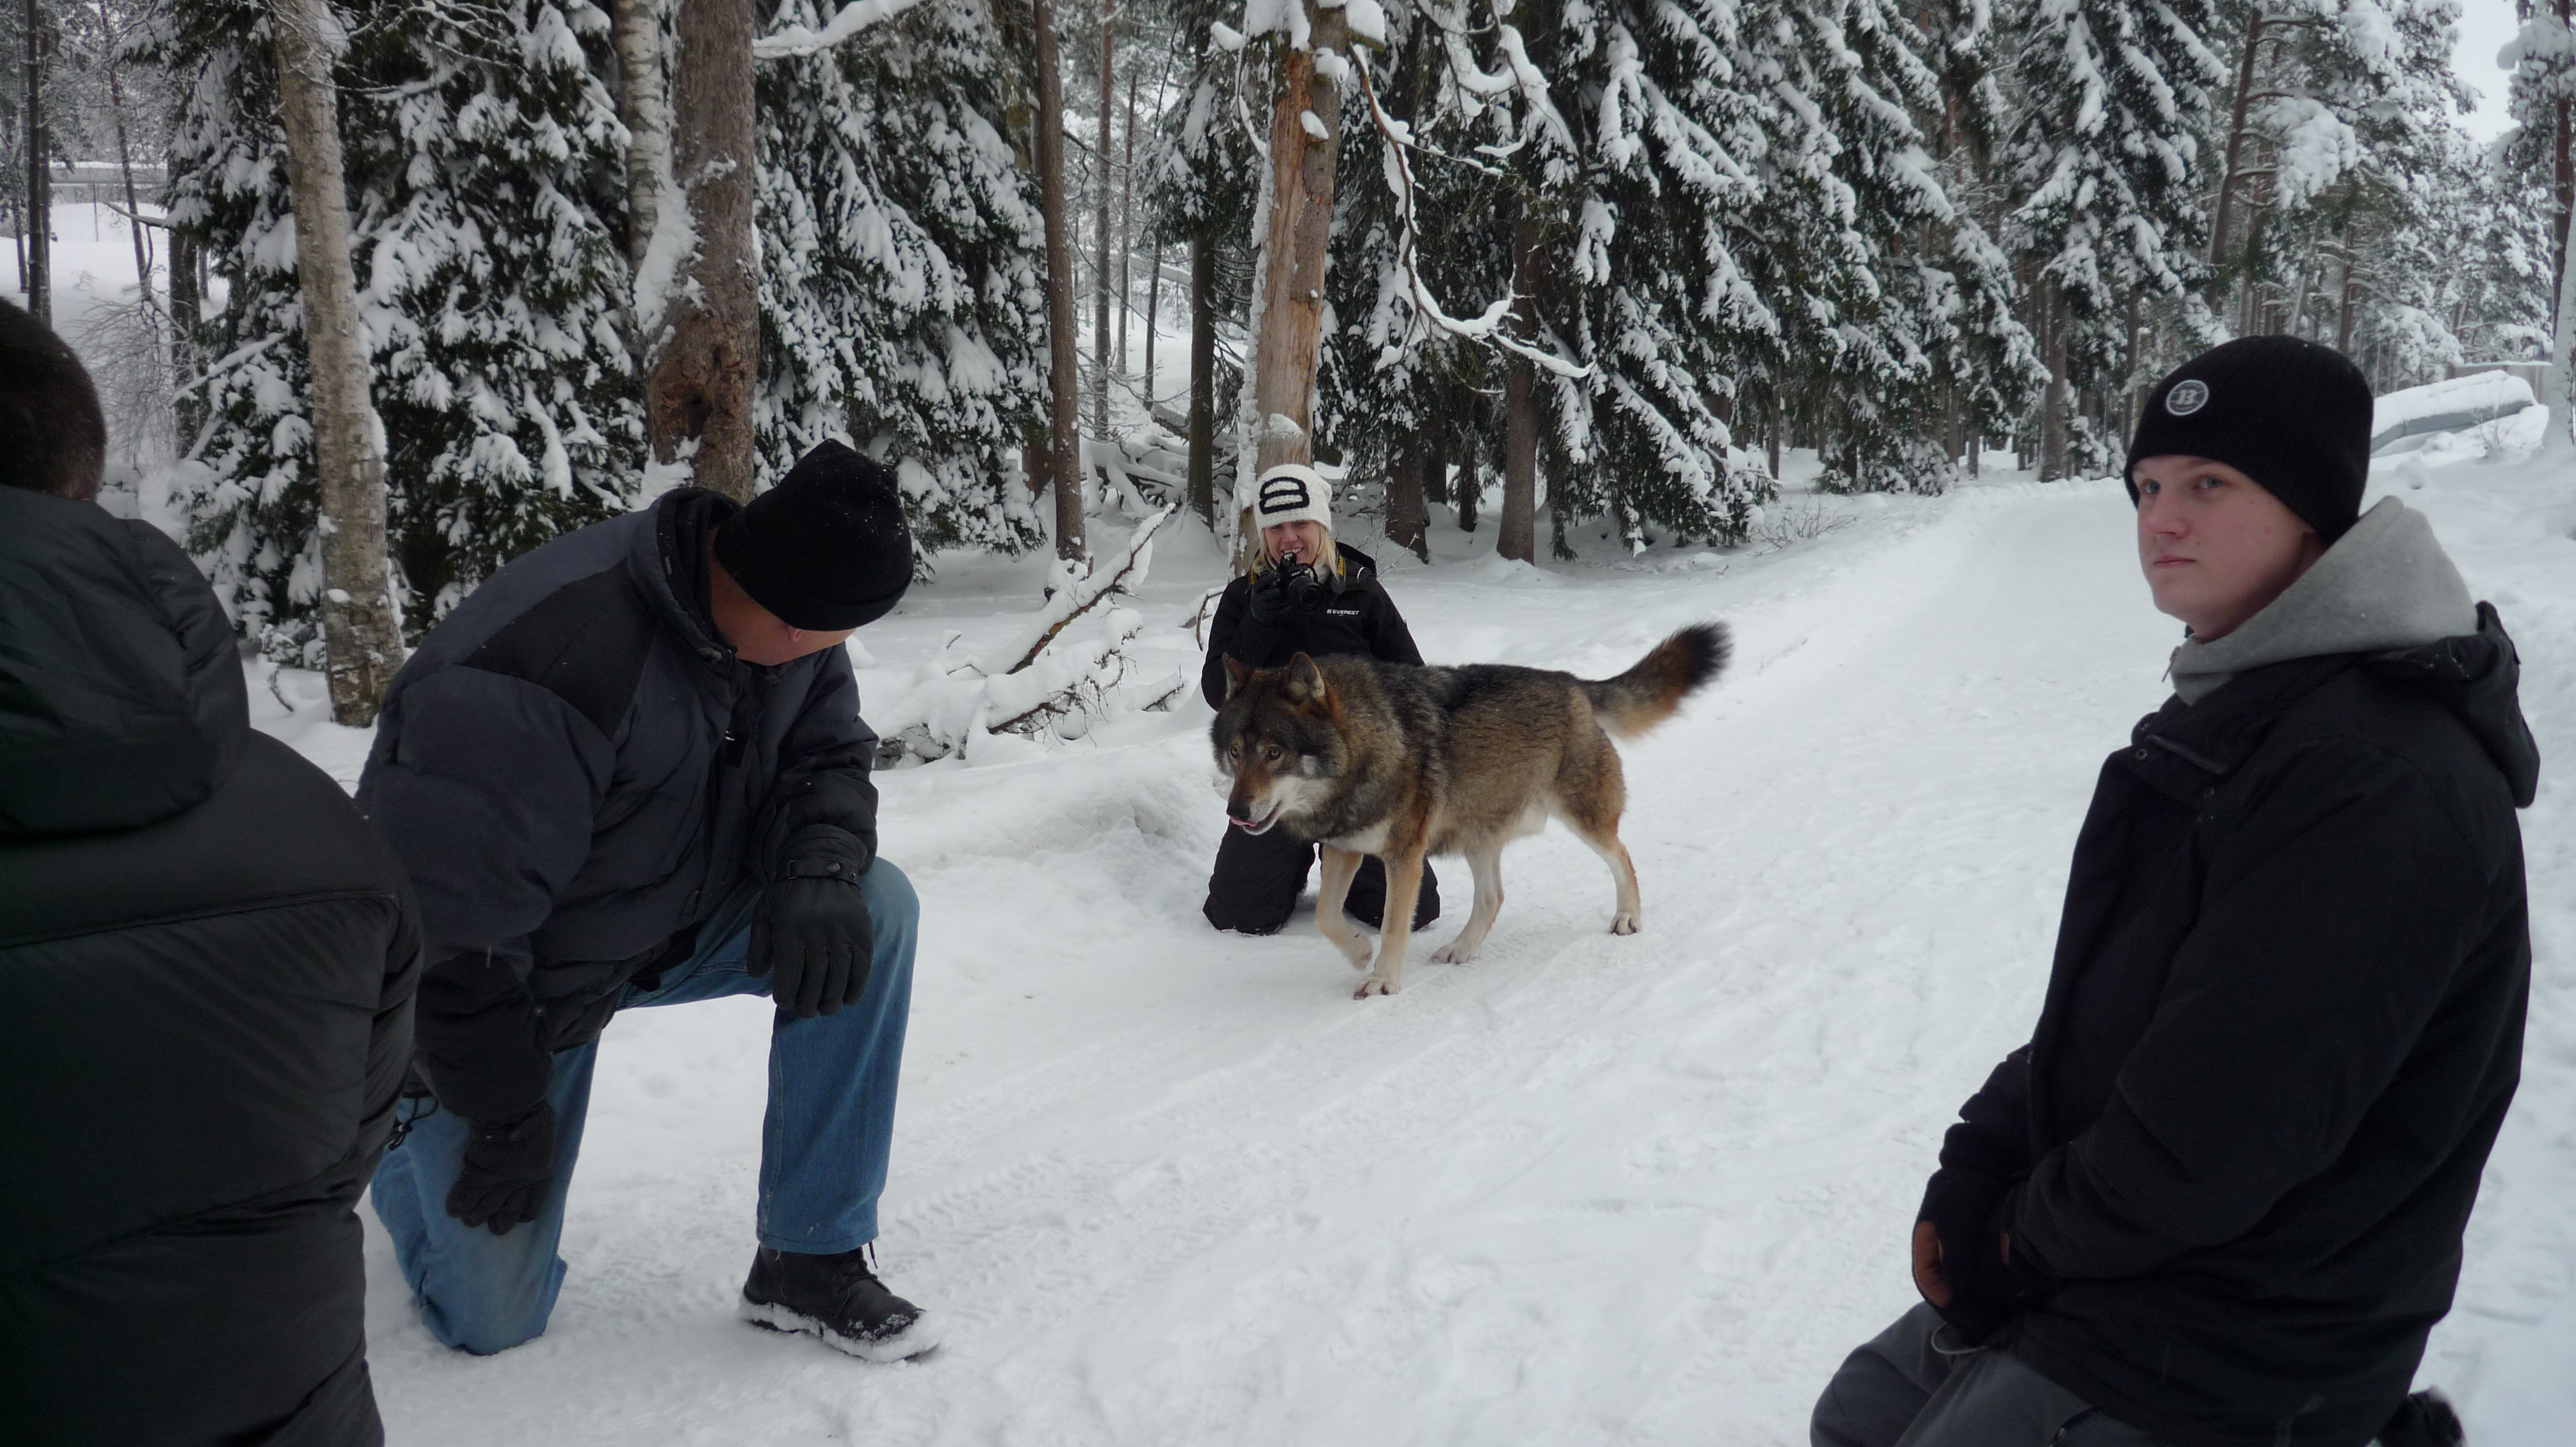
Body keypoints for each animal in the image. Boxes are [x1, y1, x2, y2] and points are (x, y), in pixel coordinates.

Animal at [1212, 624, 1729, 998]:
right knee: (1494, 897)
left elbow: (1395, 925)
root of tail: (1574, 685)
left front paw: (1382, 979)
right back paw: (1460, 949)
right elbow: (1325, 917)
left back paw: (1628, 919)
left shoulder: (1404, 857)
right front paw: (1360, 953)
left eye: (1274, 754)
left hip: (1585, 821)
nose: (1236, 810)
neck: (1365, 746)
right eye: (1236, 753)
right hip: (1478, 836)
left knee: (1623, 857)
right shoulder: (1344, 847)